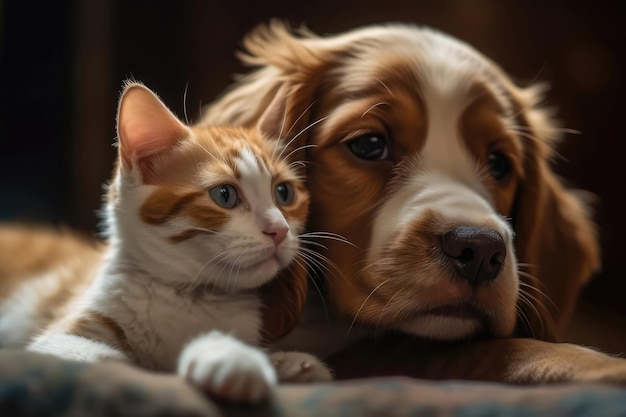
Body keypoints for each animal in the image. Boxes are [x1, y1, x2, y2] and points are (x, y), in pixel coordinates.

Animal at [0, 82, 332, 404]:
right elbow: (105, 359)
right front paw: (233, 358)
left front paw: (287, 363)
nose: (279, 230)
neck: (190, 295)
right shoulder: (62, 339)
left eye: (284, 193)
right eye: (225, 195)